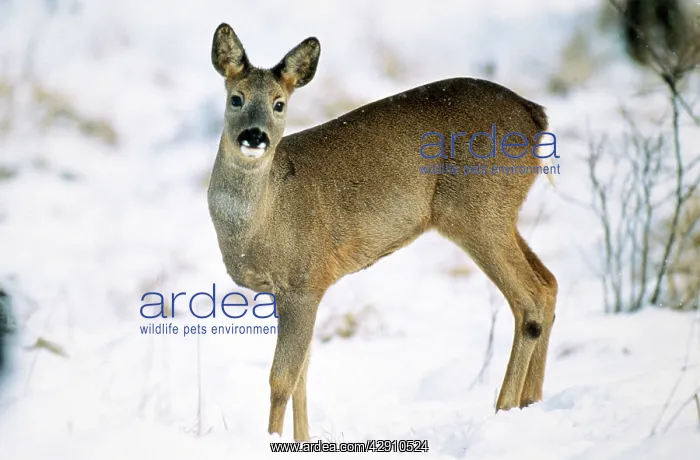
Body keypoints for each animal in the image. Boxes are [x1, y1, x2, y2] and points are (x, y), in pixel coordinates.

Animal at [207, 22, 558, 442]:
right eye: (236, 98)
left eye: (280, 104)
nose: (255, 137)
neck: (260, 223)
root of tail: (535, 115)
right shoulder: (290, 292)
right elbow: (303, 376)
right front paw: (302, 441)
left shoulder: (305, 281)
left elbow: (282, 379)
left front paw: (272, 441)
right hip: (500, 215)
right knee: (549, 283)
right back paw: (531, 403)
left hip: (477, 213)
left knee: (531, 298)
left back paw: (503, 408)